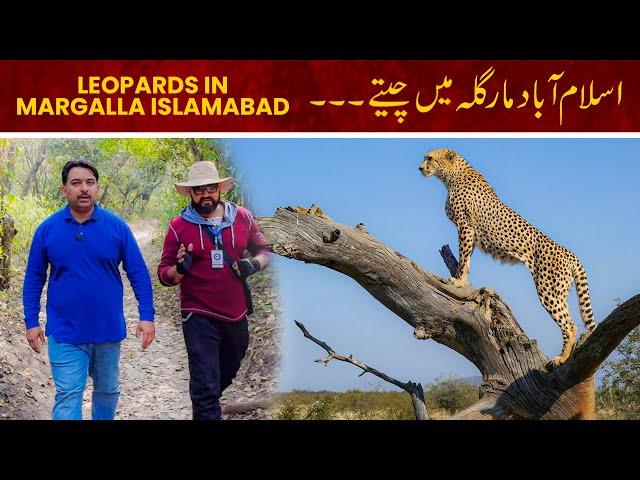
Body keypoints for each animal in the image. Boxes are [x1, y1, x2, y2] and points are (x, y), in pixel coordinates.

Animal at [420, 147, 596, 368]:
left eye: (430, 158)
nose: (420, 168)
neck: (451, 176)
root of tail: (571, 254)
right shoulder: (471, 232)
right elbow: (467, 259)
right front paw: (462, 279)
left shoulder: (465, 226)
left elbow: (463, 257)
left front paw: (458, 281)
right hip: (560, 291)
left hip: (548, 289)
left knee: (570, 324)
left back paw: (561, 358)